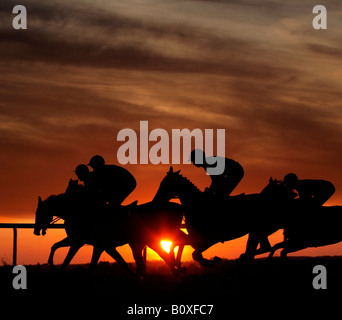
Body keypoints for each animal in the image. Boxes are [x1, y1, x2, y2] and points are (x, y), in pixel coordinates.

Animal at [34, 180, 187, 278]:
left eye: (38, 213)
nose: (36, 231)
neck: (81, 212)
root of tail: (179, 207)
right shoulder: (88, 243)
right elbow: (55, 247)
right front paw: (52, 265)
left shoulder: (82, 242)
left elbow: (70, 261)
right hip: (148, 242)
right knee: (165, 255)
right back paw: (177, 270)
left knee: (173, 248)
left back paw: (177, 268)